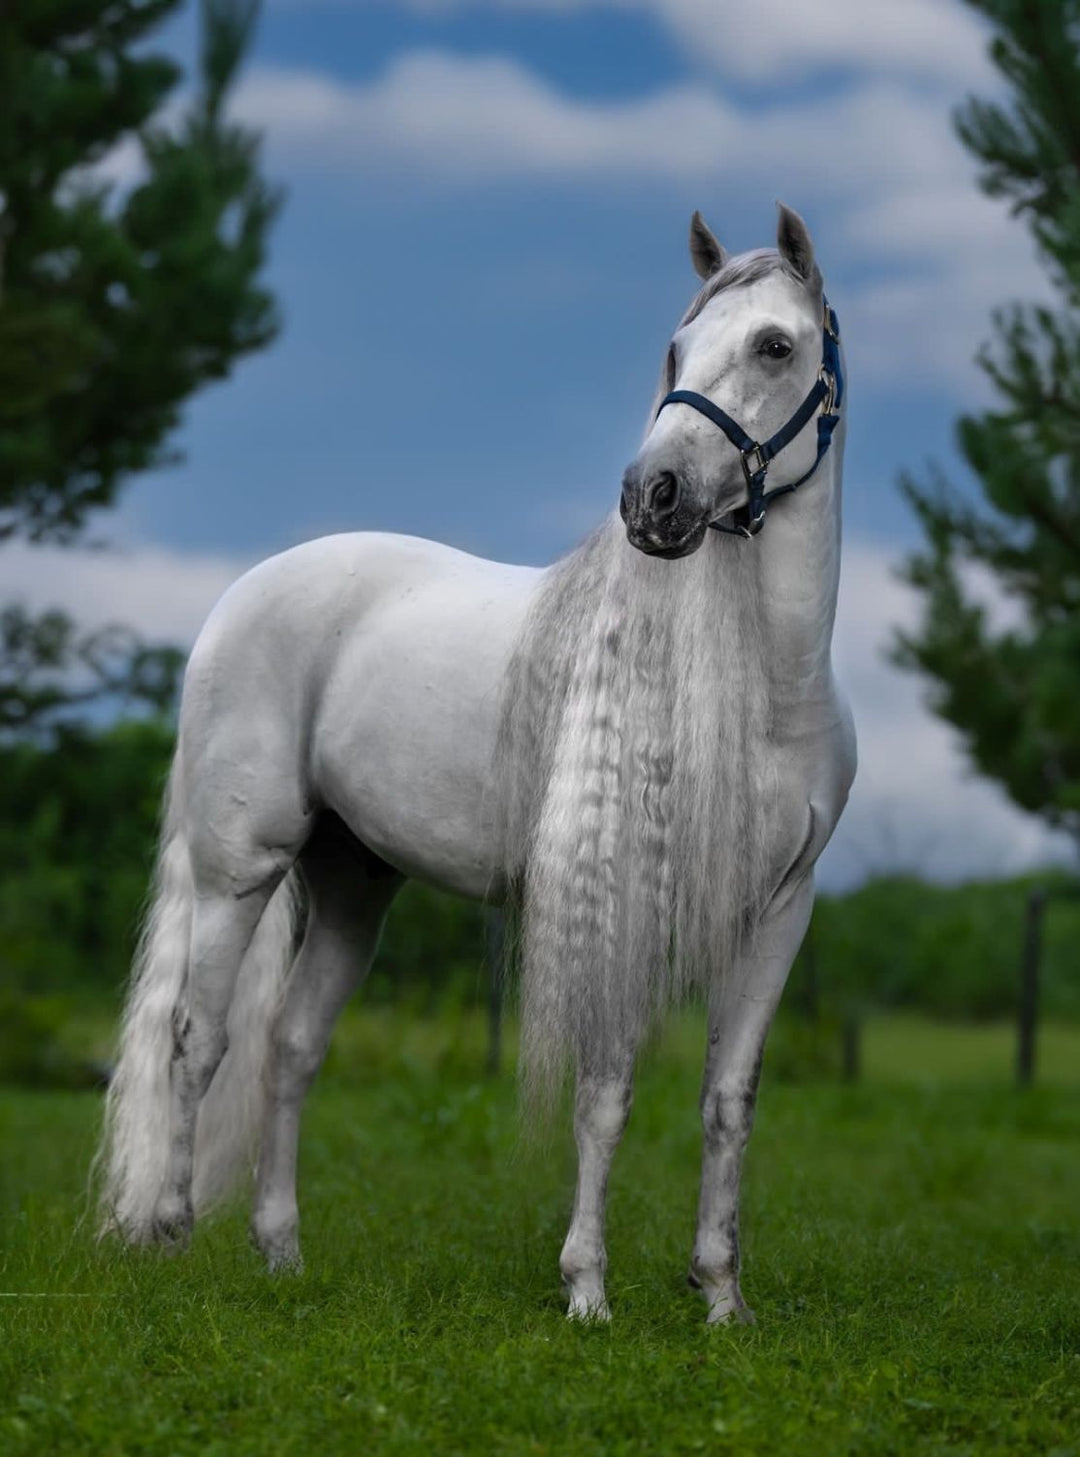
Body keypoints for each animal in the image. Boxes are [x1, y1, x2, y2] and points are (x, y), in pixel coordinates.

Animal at [98, 203, 855, 1325]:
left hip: (354, 883)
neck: (764, 694)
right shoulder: (623, 901)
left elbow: (729, 1100)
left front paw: (722, 1297)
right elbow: (605, 1094)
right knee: (197, 1038)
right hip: (239, 869)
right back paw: (169, 1235)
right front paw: (587, 1290)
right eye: (676, 351)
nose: (654, 496)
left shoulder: (776, 913)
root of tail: (246, 592)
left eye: (775, 345)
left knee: (291, 1046)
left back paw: (281, 1253)